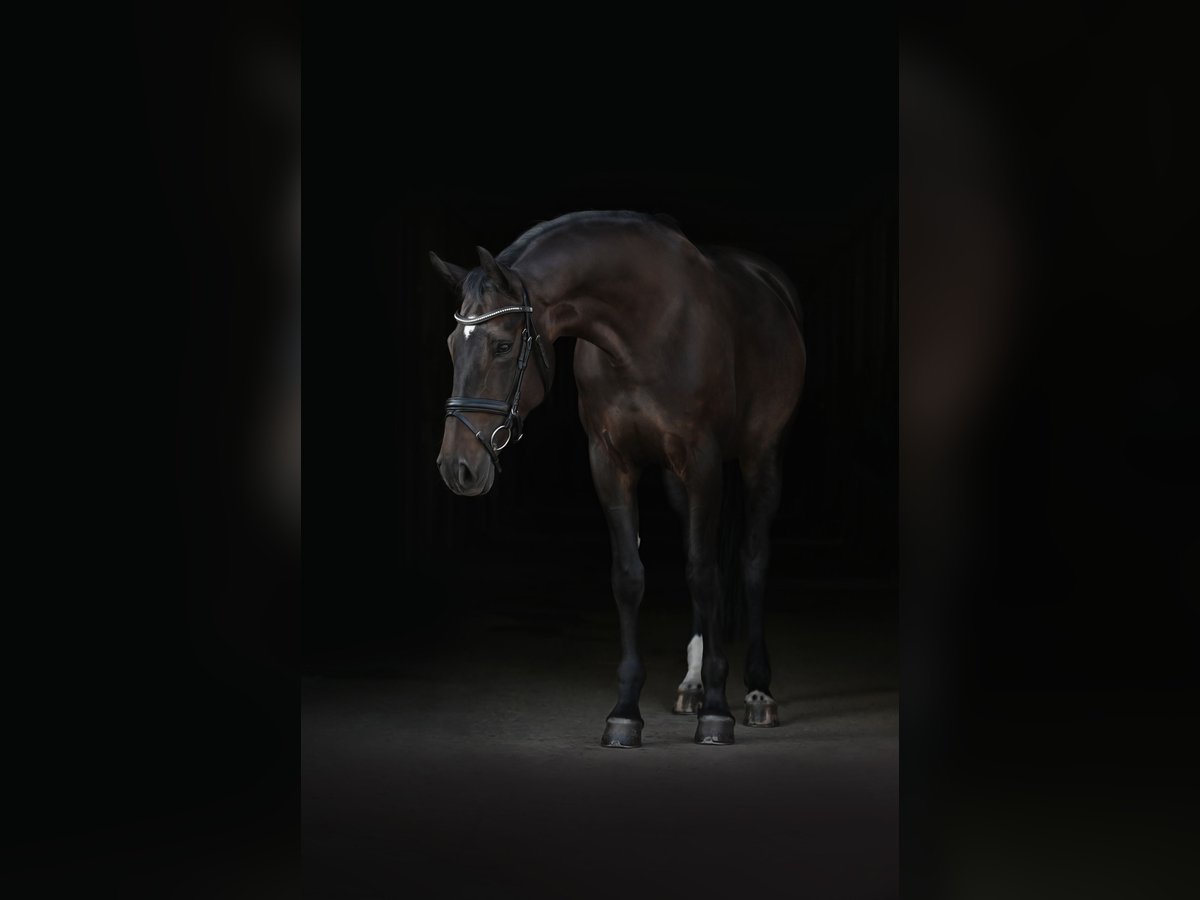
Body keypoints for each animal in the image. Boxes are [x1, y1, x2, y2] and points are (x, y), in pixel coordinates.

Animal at [431, 211, 806, 747]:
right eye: (450, 346)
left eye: (502, 346)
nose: (456, 468)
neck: (645, 330)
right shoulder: (611, 463)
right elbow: (630, 577)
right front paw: (626, 714)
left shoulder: (704, 461)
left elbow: (706, 574)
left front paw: (718, 713)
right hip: (676, 479)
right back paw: (691, 686)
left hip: (762, 459)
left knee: (752, 561)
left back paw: (757, 692)